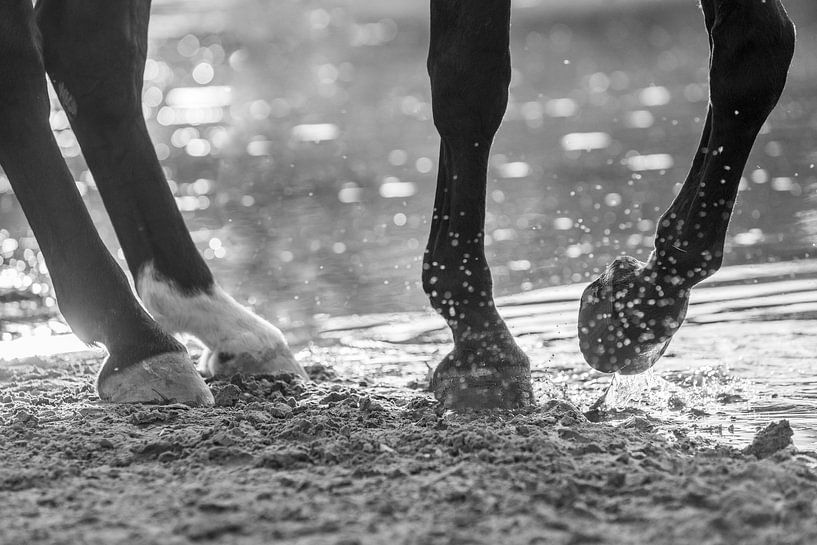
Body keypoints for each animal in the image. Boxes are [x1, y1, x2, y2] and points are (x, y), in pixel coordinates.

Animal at [0, 0, 795, 409]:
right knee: (57, 59)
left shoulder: (752, 49)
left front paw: (640, 308)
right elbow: (472, 76)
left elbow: (758, 46)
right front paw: (480, 341)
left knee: (89, 58)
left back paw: (212, 320)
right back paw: (138, 337)